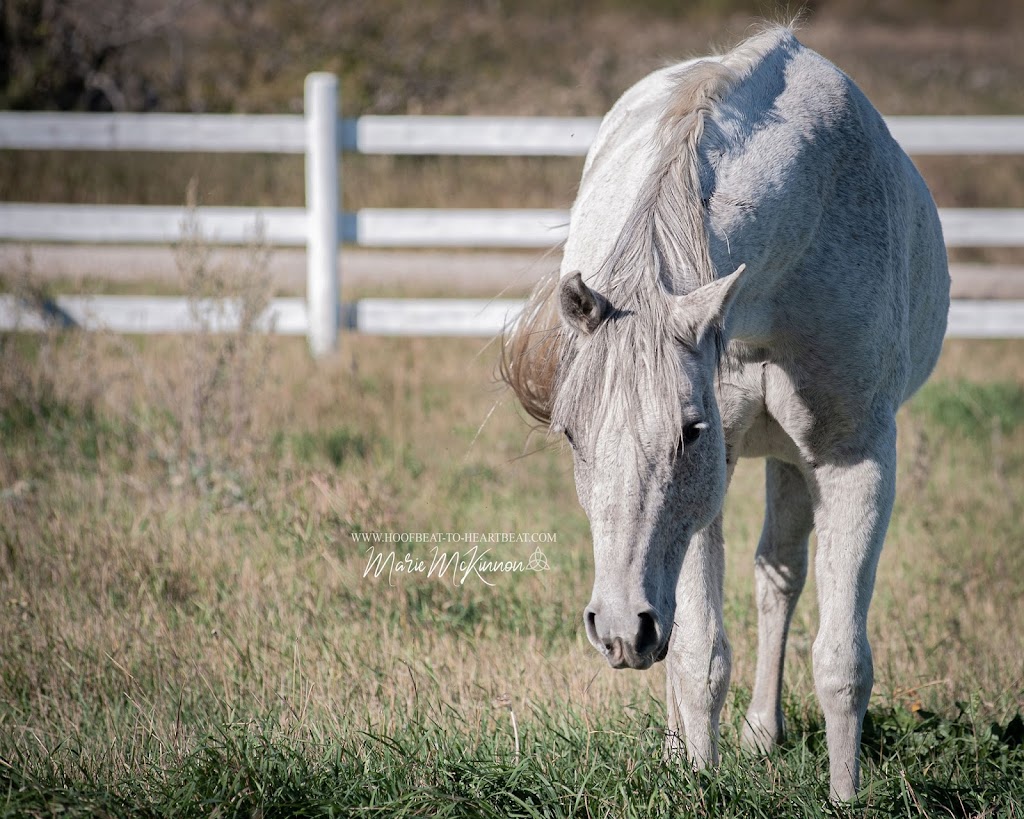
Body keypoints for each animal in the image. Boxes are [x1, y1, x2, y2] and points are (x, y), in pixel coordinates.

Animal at [503, 24, 950, 798]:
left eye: (690, 431)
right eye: (571, 435)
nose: (617, 630)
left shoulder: (853, 461)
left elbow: (841, 662)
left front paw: (844, 797)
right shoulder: (708, 494)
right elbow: (698, 655)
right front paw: (697, 779)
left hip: (792, 463)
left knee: (779, 577)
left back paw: (762, 734)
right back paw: (679, 748)